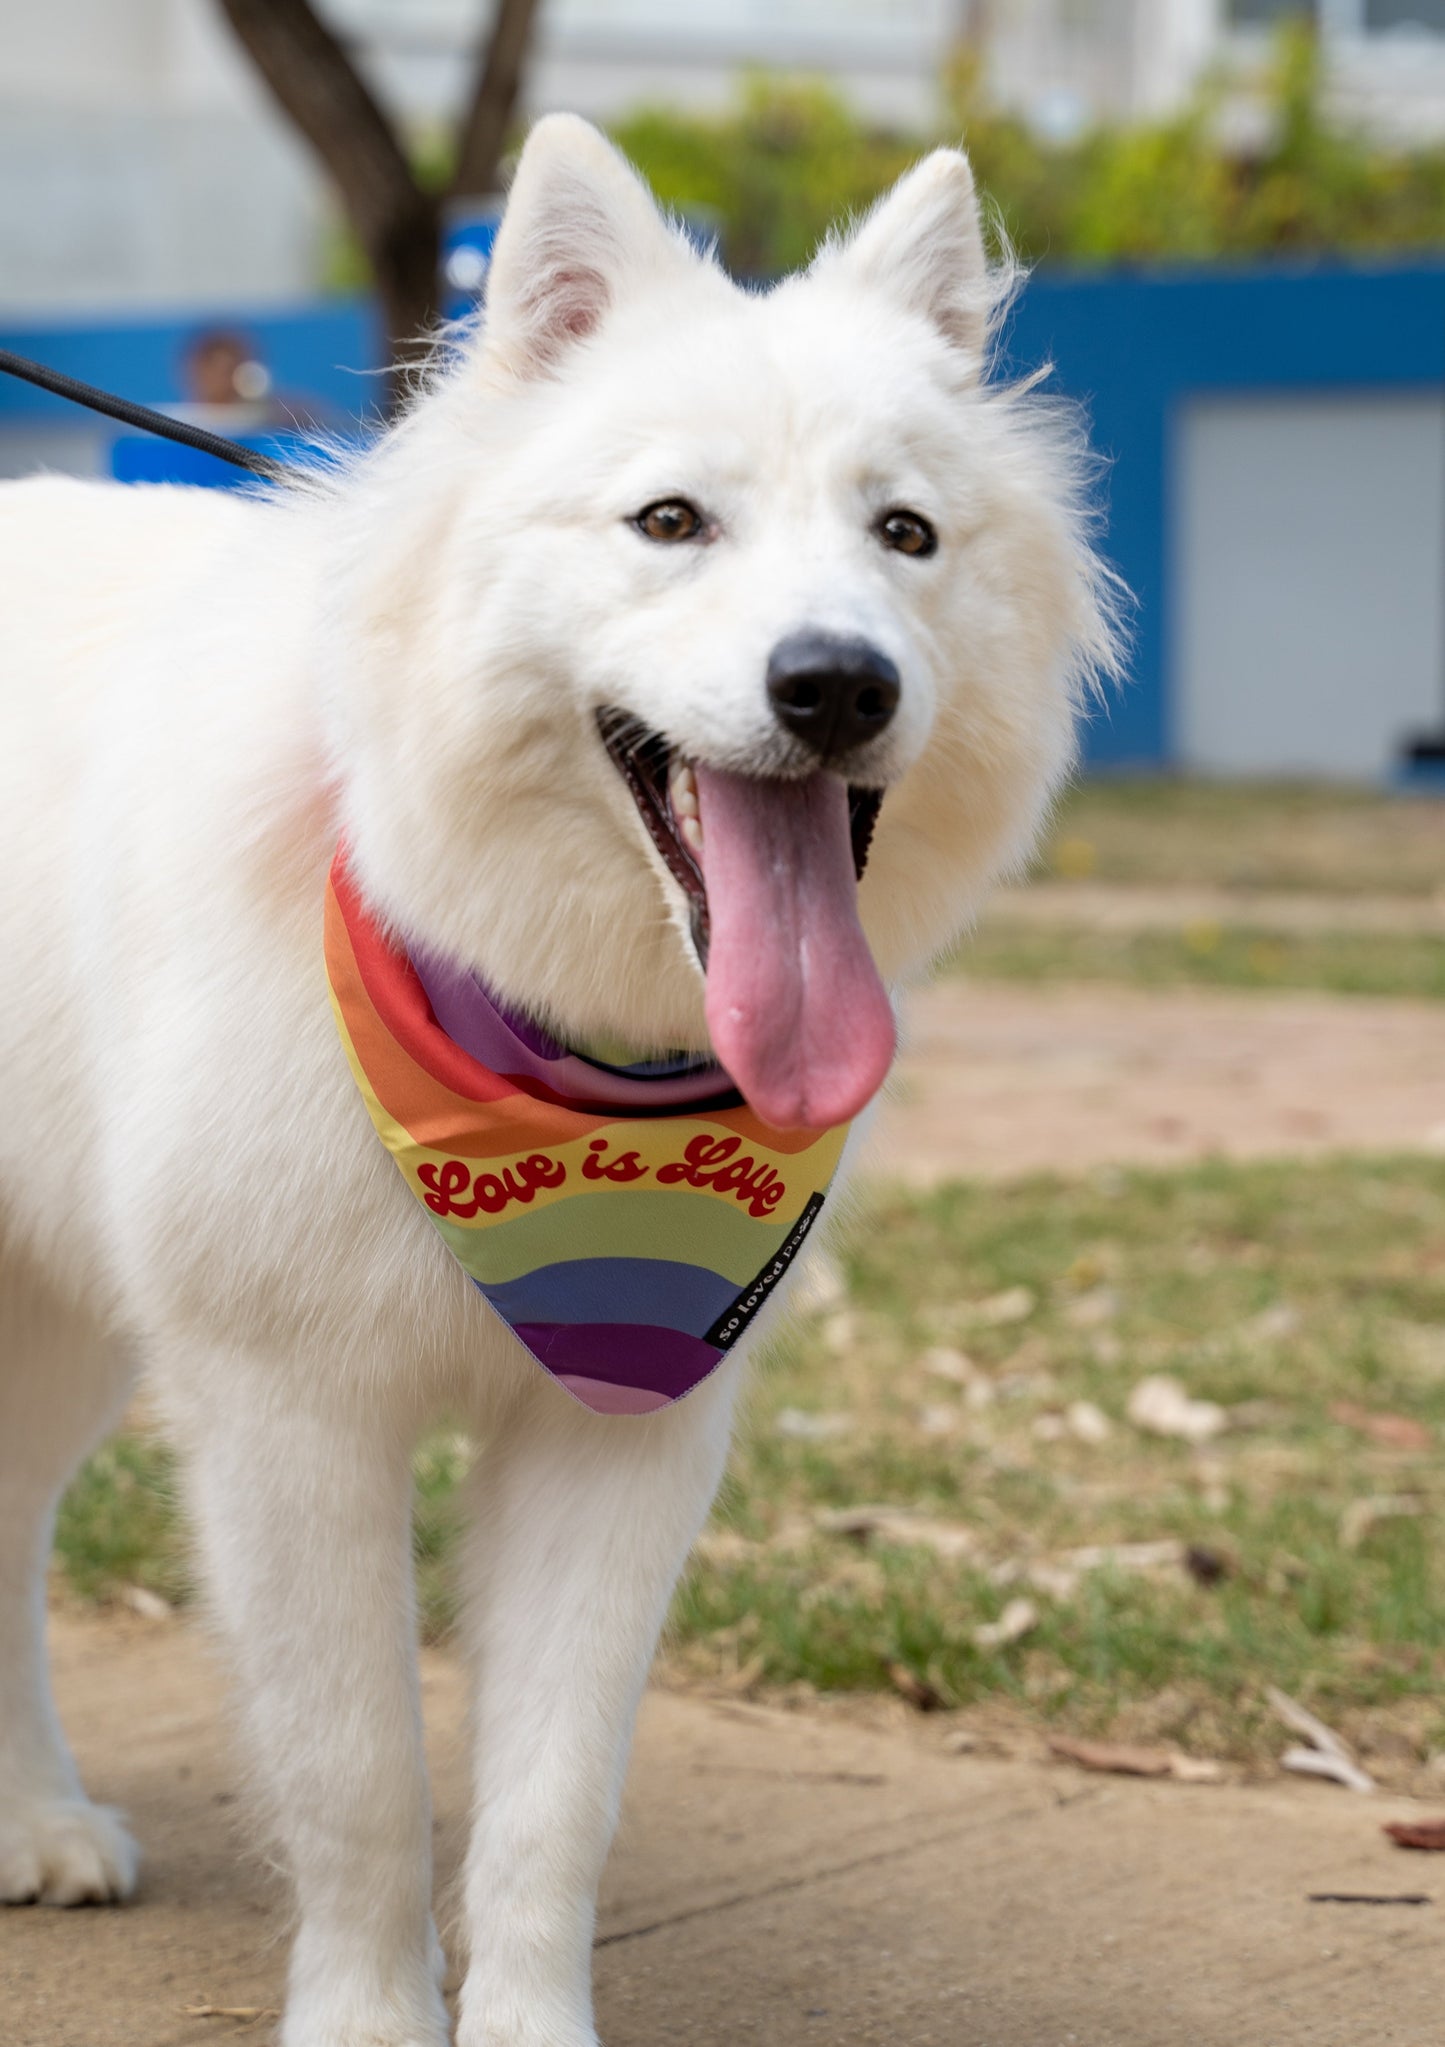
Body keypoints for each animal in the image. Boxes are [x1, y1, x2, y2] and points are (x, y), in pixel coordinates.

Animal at [0, 116, 1113, 2046]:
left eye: (904, 533)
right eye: (671, 521)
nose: (836, 684)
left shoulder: (628, 1437)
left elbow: (548, 1794)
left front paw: (519, 2019)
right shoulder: (290, 1418)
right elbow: (362, 1772)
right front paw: (371, 2017)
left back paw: (33, 1817)